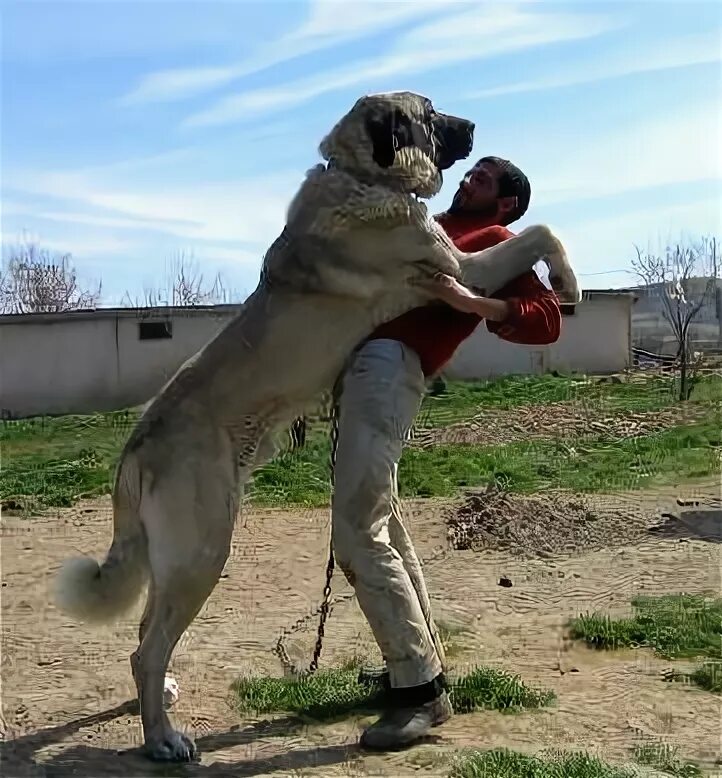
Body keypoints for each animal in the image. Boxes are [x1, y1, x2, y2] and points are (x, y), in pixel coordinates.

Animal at [52, 89, 580, 756]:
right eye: (431, 111)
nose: (475, 127)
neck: (361, 175)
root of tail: (136, 447)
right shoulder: (459, 267)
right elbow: (538, 230)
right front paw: (568, 282)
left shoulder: (454, 267)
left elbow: (532, 232)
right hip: (203, 548)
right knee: (147, 648)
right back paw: (164, 740)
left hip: (176, 554)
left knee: (145, 637)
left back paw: (161, 700)